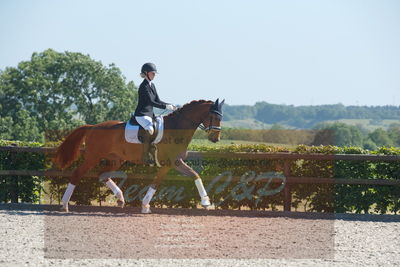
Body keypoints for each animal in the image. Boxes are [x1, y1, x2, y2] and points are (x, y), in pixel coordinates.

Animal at [52, 98, 225, 214]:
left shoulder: (176, 162)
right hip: (92, 157)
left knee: (103, 174)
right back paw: (64, 205)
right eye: (216, 117)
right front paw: (145, 206)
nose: (215, 139)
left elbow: (195, 175)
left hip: (116, 159)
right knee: (78, 174)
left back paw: (120, 198)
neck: (177, 127)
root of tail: (93, 127)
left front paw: (206, 201)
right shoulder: (168, 163)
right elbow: (156, 183)